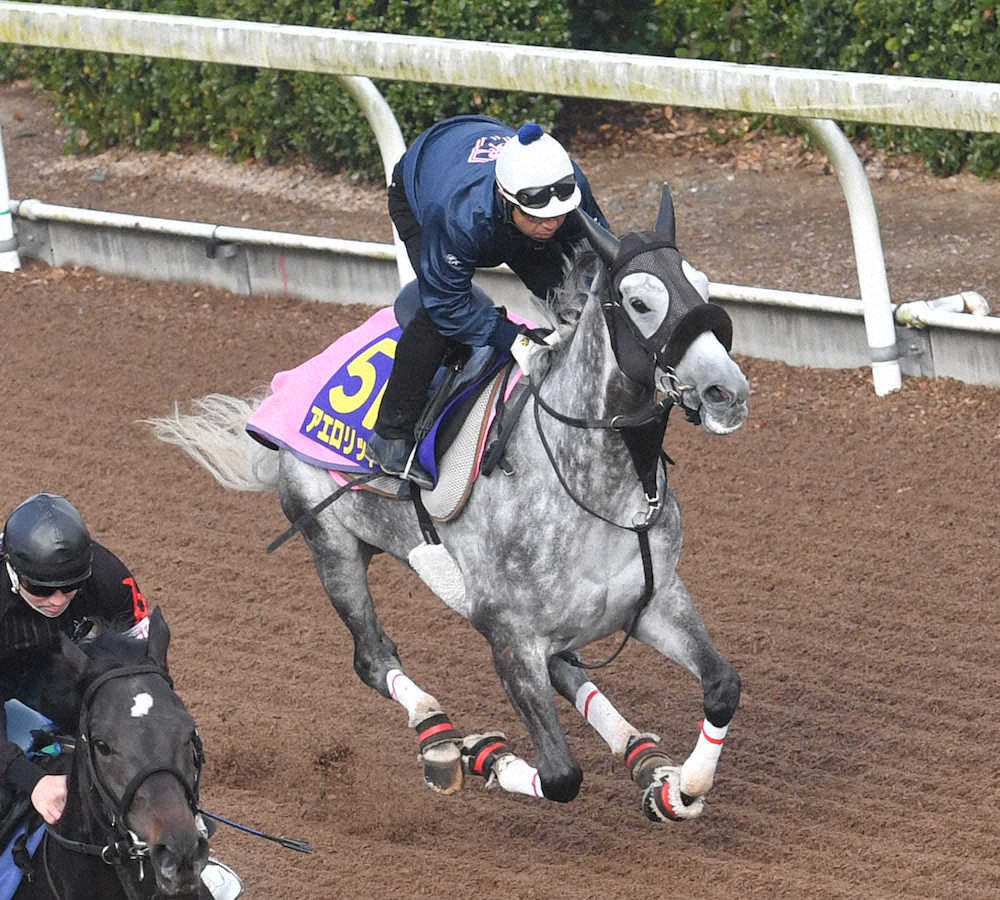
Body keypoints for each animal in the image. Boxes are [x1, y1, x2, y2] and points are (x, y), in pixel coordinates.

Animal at [148, 186, 750, 821]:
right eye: (638, 302)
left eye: (703, 286)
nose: (727, 391)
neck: (595, 494)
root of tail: (287, 384)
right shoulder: (508, 636)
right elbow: (560, 776)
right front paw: (486, 755)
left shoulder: (657, 599)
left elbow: (722, 686)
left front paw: (680, 787)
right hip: (332, 547)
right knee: (374, 657)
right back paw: (437, 733)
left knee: (566, 670)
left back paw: (642, 757)